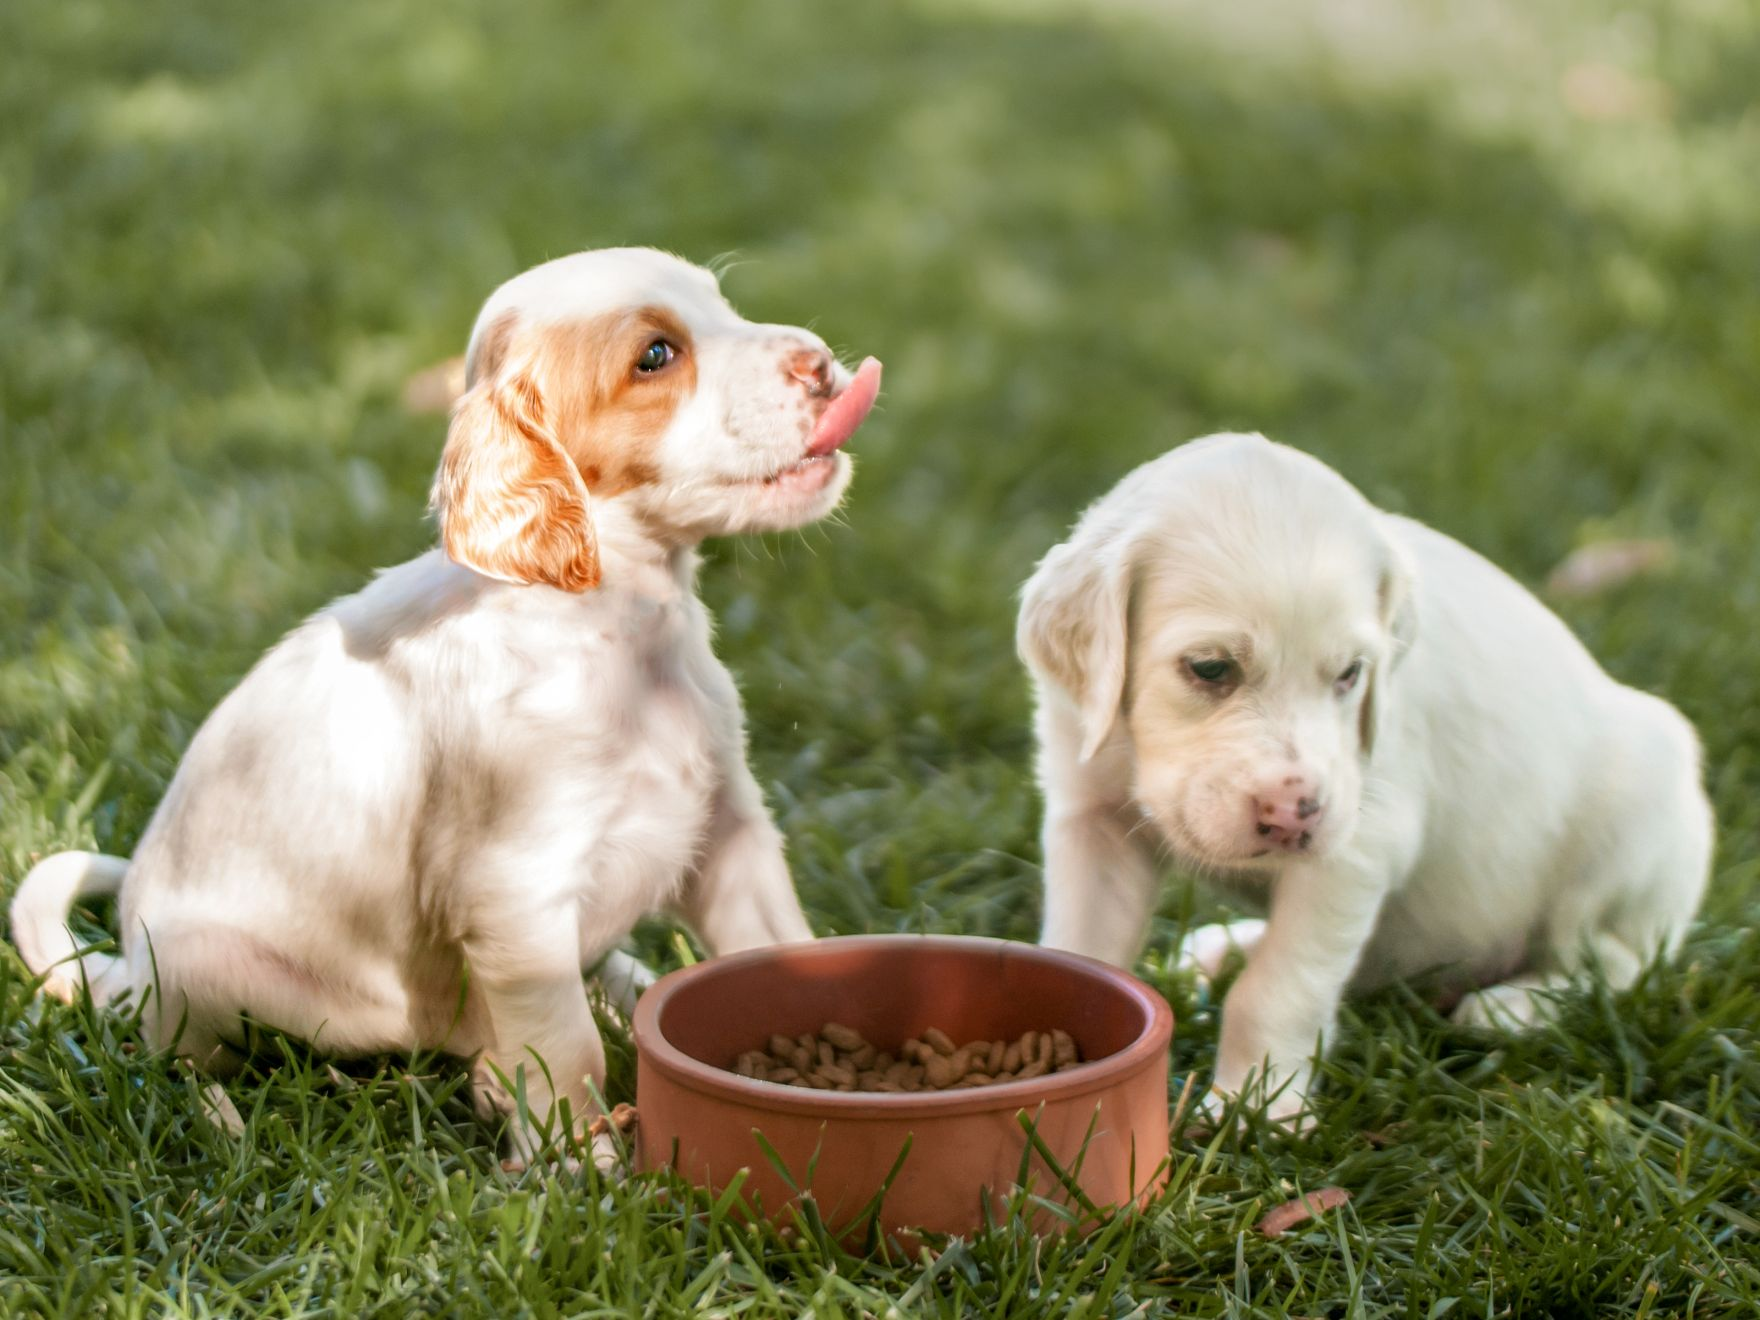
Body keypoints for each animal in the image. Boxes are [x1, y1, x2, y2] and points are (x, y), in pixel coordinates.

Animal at [13, 248, 887, 1168]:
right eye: (655, 355)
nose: (821, 364)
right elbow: (565, 1048)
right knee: (190, 1061)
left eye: (724, 306)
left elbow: (778, 945)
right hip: (214, 972)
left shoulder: (727, 830)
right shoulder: (517, 894)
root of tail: (122, 977)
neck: (619, 629)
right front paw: (582, 1165)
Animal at [1027, 434, 1710, 1126]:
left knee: (1611, 961)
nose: (1295, 814)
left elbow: (1278, 988)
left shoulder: (1355, 845)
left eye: (1351, 673)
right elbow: (1081, 946)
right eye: (1210, 667)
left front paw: (1257, 1110)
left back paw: (1514, 1006)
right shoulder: (1090, 817)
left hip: (1637, 814)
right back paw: (1230, 947)